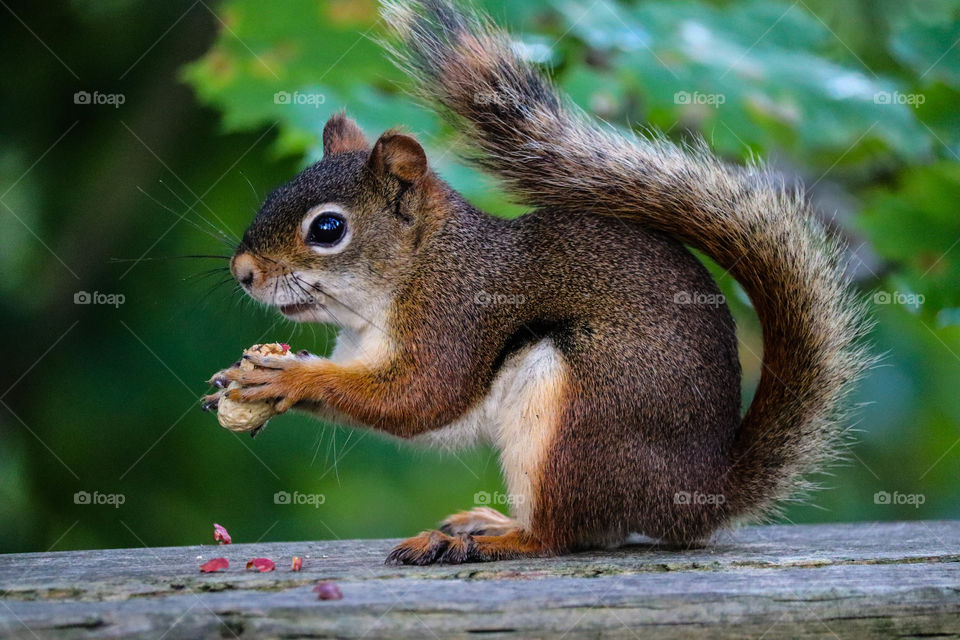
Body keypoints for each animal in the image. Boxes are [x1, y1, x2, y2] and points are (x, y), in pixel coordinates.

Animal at [202, 0, 872, 564]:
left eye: (329, 228)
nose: (242, 272)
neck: (409, 274)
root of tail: (698, 493)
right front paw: (242, 379)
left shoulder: (456, 314)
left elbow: (419, 398)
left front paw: (288, 376)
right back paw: (485, 523)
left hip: (578, 415)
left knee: (561, 535)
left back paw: (489, 541)